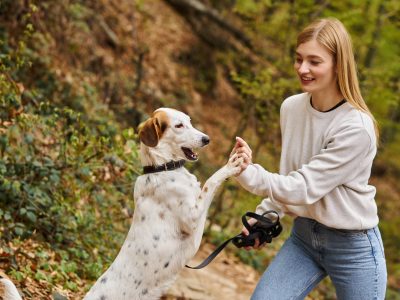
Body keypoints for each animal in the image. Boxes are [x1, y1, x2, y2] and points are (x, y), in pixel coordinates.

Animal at [0, 106, 242, 298]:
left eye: (190, 122)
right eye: (179, 125)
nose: (207, 139)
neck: (161, 168)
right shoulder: (194, 218)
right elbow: (212, 181)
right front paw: (232, 164)